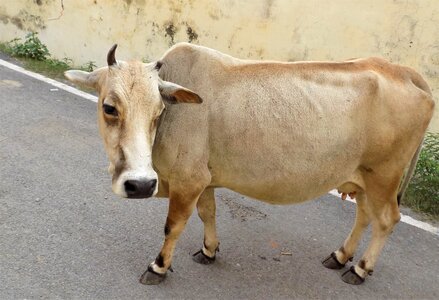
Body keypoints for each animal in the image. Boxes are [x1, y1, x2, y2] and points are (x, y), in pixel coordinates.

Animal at [65, 42, 436, 286]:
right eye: (109, 107)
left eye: (159, 111)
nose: (140, 184)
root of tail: (404, 71)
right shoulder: (204, 180)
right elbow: (208, 214)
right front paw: (209, 250)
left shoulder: (188, 180)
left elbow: (173, 225)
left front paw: (158, 267)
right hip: (361, 178)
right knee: (364, 215)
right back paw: (340, 256)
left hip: (383, 177)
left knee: (386, 219)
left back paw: (359, 269)